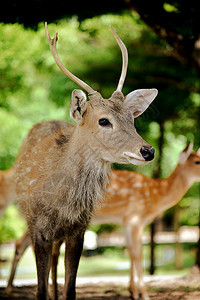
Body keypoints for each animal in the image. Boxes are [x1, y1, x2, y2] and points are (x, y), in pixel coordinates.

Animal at [5, 142, 200, 298]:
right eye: (197, 161)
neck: (156, 195)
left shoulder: (126, 221)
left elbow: (131, 252)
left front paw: (132, 291)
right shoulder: (134, 217)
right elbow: (137, 253)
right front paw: (143, 294)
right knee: (23, 243)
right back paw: (11, 289)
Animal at [6, 23, 158, 300]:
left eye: (132, 118)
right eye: (103, 120)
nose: (148, 151)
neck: (62, 204)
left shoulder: (80, 230)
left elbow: (71, 289)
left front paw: (61, 293)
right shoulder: (38, 228)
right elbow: (39, 289)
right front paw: (46, 293)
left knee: (56, 260)